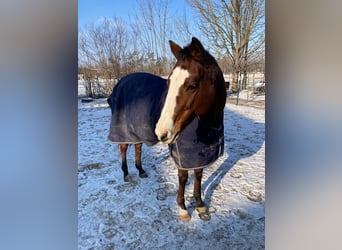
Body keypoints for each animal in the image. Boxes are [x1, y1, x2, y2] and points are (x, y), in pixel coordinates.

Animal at [107, 37, 226, 221]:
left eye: (192, 86)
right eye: (169, 82)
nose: (161, 131)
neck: (208, 125)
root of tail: (121, 82)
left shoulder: (199, 153)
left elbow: (198, 175)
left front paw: (200, 205)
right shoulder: (182, 153)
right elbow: (183, 177)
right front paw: (183, 209)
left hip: (137, 131)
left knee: (138, 147)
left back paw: (141, 170)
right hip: (123, 130)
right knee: (124, 148)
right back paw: (126, 174)